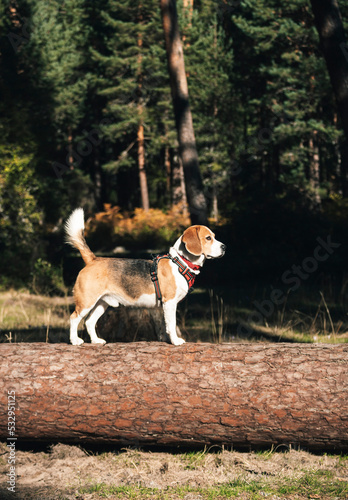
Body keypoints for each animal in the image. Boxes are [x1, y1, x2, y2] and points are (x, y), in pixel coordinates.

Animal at [66, 207, 226, 344]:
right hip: (86, 301)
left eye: (214, 237)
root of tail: (93, 259)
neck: (180, 262)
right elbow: (172, 324)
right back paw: (75, 341)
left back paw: (96, 340)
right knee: (74, 318)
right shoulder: (170, 302)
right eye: (208, 238)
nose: (224, 247)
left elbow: (164, 326)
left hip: (102, 303)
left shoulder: (163, 307)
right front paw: (175, 341)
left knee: (89, 321)